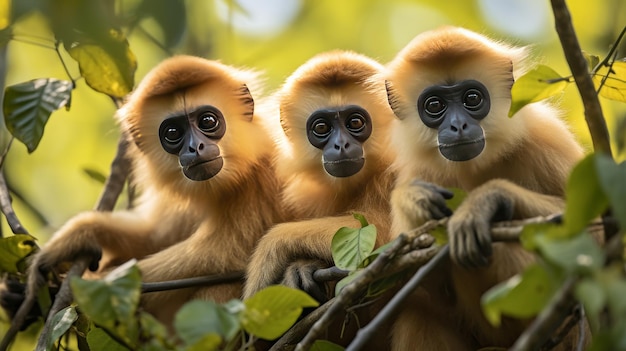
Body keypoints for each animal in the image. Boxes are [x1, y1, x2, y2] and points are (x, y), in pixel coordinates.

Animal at [20, 55, 286, 330]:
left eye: (208, 122)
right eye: (173, 133)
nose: (195, 147)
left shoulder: (260, 182)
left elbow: (224, 255)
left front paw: (81, 286)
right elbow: (155, 236)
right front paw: (73, 238)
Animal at [241, 50, 392, 346]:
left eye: (355, 122)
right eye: (322, 127)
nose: (341, 145)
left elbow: (389, 234)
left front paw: (268, 255)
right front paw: (301, 269)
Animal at [386, 26, 584, 350]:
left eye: (472, 98)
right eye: (435, 106)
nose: (458, 126)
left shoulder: (546, 137)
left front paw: (485, 201)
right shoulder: (419, 170)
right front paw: (411, 201)